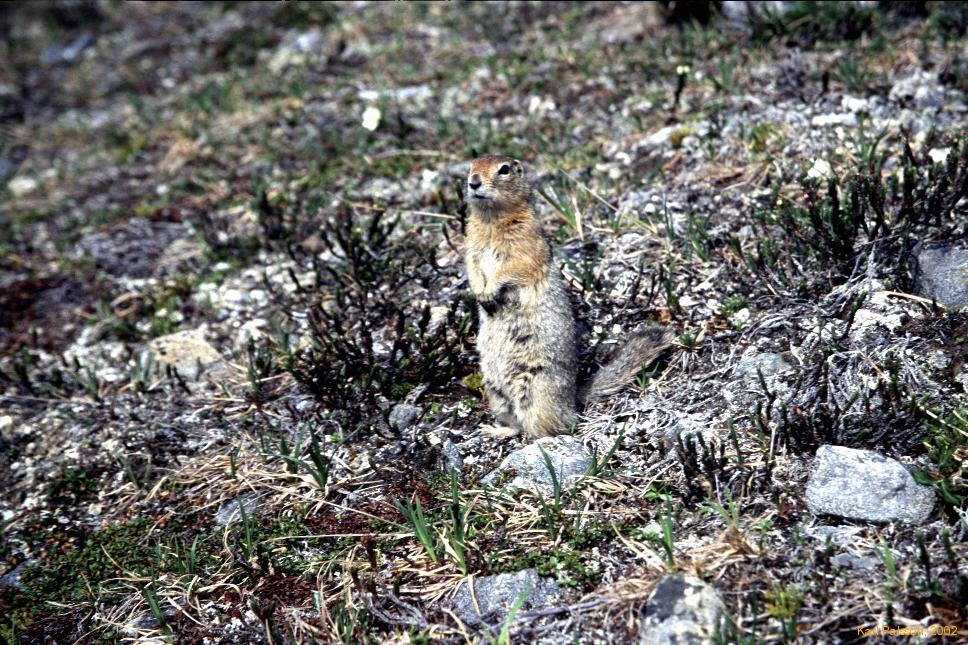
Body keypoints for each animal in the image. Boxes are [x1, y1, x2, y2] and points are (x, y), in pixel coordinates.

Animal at [463, 154, 672, 438]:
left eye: (503, 169)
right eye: (471, 166)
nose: (473, 182)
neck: (490, 217)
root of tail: (572, 397)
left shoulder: (525, 244)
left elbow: (514, 267)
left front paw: (491, 290)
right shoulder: (471, 246)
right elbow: (472, 267)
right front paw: (480, 293)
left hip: (535, 391)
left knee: (551, 426)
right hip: (495, 392)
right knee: (515, 424)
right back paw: (495, 430)